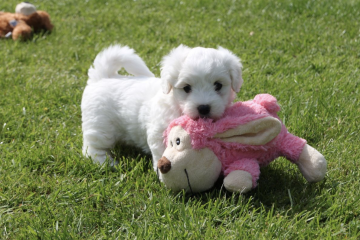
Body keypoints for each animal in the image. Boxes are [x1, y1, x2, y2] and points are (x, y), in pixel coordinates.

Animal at [81, 43, 243, 171]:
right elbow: (162, 152)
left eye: (218, 85)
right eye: (186, 88)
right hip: (100, 125)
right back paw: (106, 162)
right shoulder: (158, 132)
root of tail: (102, 76)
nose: (203, 108)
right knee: (92, 148)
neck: (177, 106)